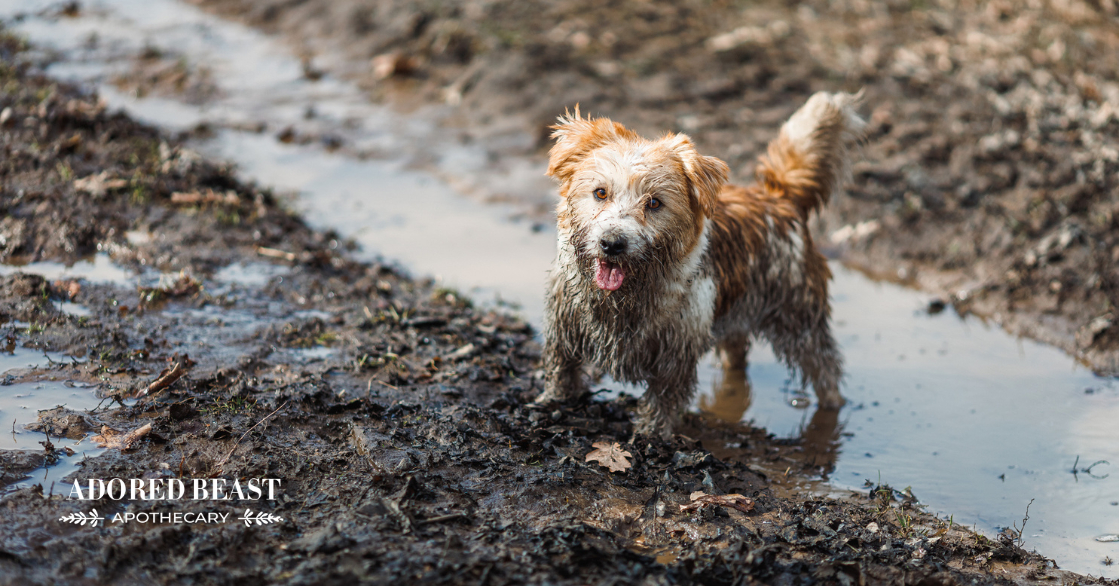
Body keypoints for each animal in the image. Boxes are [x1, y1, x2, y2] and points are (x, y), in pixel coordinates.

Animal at [534, 91, 863, 436]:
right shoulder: (562, 331)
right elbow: (561, 372)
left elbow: (663, 400)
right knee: (738, 353)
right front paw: (553, 403)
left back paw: (831, 411)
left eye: (654, 202)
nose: (612, 244)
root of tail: (779, 197)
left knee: (826, 370)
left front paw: (651, 434)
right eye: (600, 193)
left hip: (800, 319)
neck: (623, 300)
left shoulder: (675, 356)